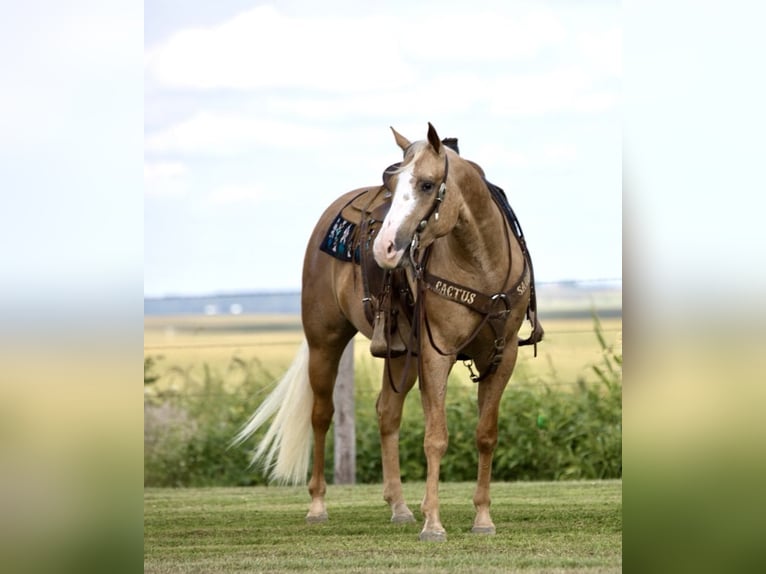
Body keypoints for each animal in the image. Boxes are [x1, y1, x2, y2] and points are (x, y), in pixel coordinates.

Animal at [234, 124, 544, 544]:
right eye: (393, 182)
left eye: (427, 184)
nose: (385, 247)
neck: (482, 267)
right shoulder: (437, 352)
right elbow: (435, 436)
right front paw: (433, 523)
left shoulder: (502, 354)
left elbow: (486, 434)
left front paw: (482, 517)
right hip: (325, 341)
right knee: (322, 415)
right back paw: (317, 505)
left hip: (399, 355)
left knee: (387, 413)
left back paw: (399, 506)